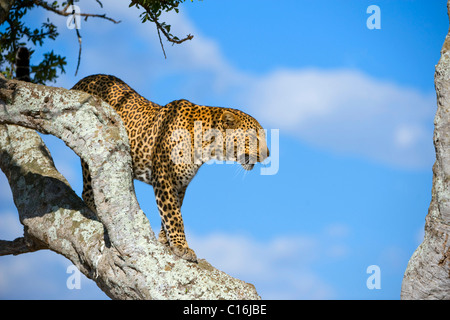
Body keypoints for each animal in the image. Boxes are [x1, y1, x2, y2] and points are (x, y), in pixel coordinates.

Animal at [72, 75, 268, 262]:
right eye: (254, 138)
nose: (268, 153)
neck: (207, 146)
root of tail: (83, 81)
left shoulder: (180, 184)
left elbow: (172, 212)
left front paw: (166, 242)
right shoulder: (164, 178)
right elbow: (174, 215)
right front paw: (182, 246)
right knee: (88, 190)